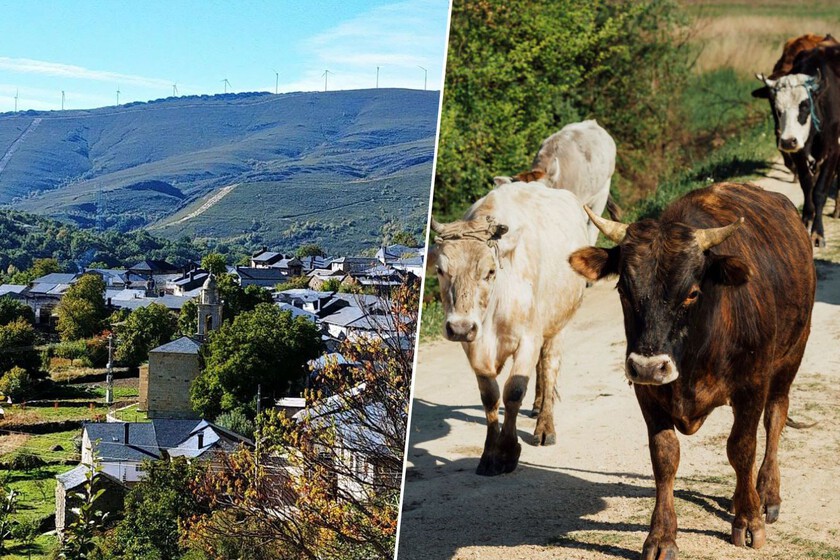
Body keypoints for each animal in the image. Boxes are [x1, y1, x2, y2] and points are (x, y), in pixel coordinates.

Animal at [430, 181, 589, 476]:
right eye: (440, 270)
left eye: (490, 271)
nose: (460, 327)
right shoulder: (473, 344)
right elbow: (490, 396)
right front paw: (490, 453)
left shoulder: (528, 338)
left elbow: (514, 391)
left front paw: (507, 451)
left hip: (558, 322)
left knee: (549, 365)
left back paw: (544, 425)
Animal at [568, 182, 815, 559]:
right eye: (624, 290)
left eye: (692, 293)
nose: (648, 366)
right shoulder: (648, 394)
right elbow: (665, 456)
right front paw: (661, 536)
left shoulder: (752, 386)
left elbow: (742, 448)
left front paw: (749, 520)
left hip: (791, 356)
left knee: (775, 417)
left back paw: (766, 493)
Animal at [756, 44, 840, 246]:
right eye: (777, 109)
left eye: (804, 105)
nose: (788, 141)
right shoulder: (799, 154)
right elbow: (807, 185)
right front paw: (806, 220)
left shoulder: (833, 151)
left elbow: (820, 191)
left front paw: (818, 232)